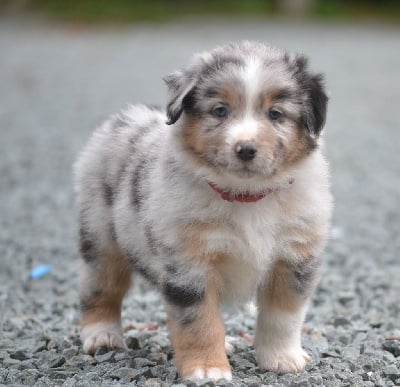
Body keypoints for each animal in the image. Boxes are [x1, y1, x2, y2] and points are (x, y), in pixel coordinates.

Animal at [74, 40, 332, 382]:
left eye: (276, 114)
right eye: (220, 110)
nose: (245, 149)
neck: (246, 198)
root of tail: (123, 116)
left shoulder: (294, 259)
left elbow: (282, 317)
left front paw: (282, 359)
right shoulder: (188, 265)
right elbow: (198, 322)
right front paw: (208, 369)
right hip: (100, 237)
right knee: (100, 288)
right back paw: (101, 336)